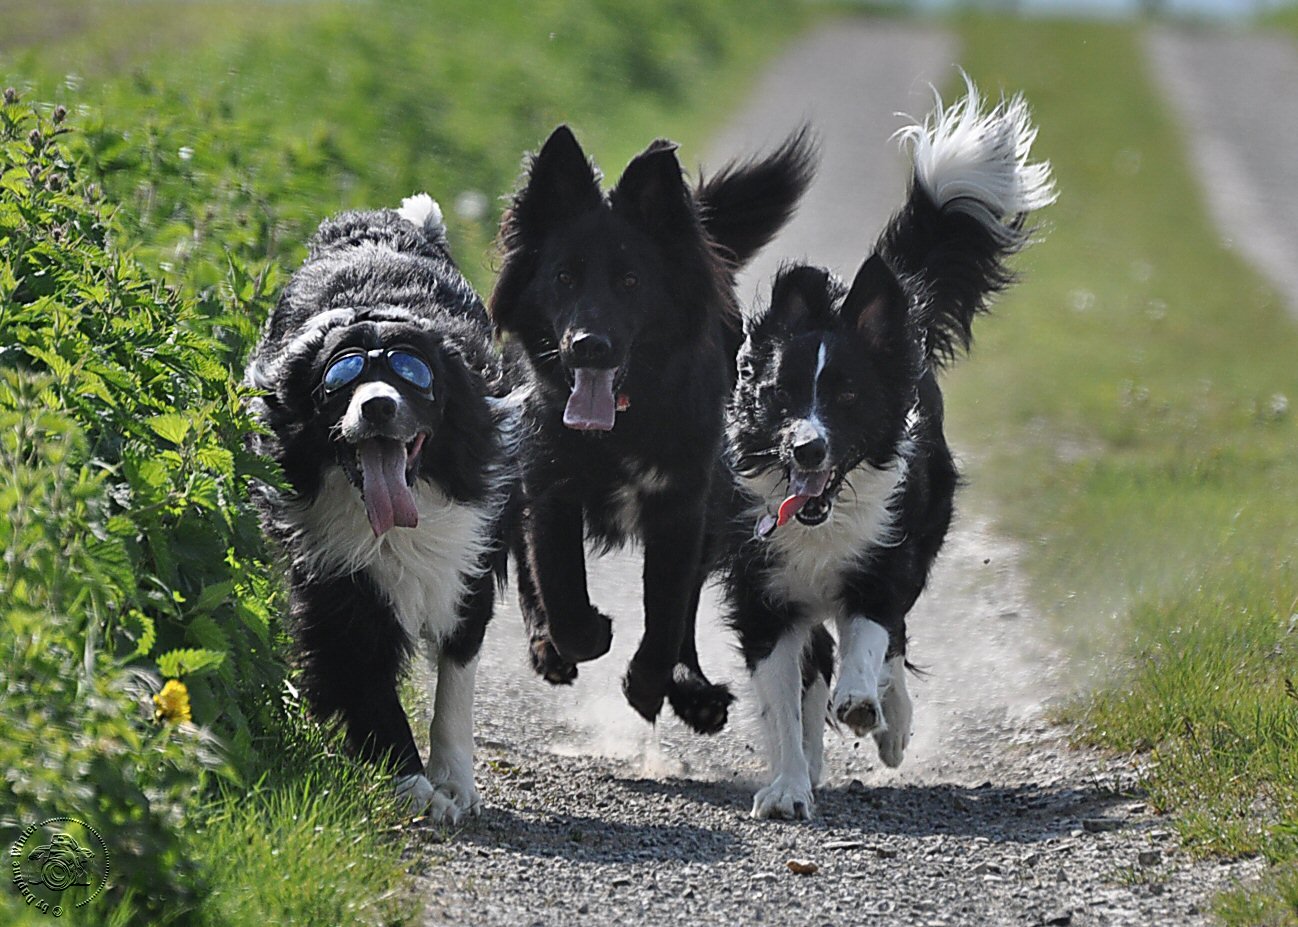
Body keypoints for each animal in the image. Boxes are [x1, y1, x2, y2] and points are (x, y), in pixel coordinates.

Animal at [247, 193, 516, 815]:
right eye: (339, 377)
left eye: (413, 373)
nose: (376, 406)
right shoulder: (335, 576)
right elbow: (365, 675)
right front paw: (413, 786)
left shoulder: (469, 554)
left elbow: (457, 675)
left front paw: (454, 782)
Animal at [488, 124, 809, 727]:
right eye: (563, 277)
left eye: (631, 280)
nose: (589, 346)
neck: (621, 425)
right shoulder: (550, 483)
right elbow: (558, 585)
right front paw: (583, 636)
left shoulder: (681, 503)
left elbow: (667, 609)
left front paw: (650, 682)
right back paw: (547, 648)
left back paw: (691, 688)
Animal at [726, 81, 1059, 815]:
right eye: (781, 395)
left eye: (848, 396)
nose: (807, 449)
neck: (821, 521)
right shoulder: (762, 592)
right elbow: (781, 700)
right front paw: (789, 787)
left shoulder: (885, 560)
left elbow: (873, 634)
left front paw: (864, 705)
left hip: (923, 531)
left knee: (891, 643)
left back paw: (888, 719)